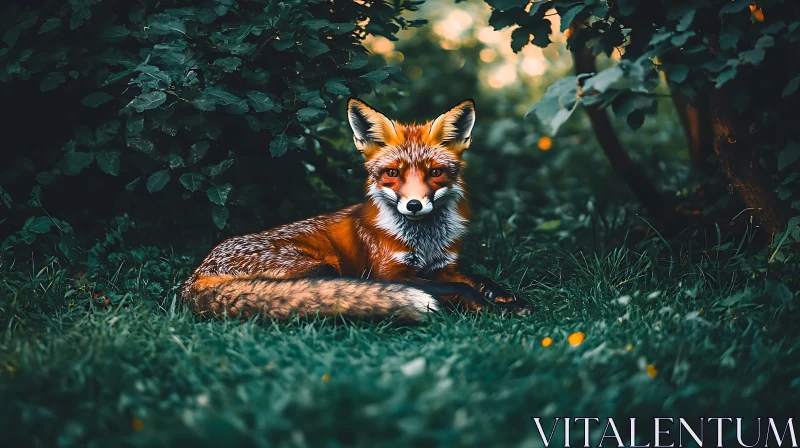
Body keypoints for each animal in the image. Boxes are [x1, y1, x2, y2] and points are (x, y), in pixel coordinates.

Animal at [184, 98, 528, 322]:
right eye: (392, 173)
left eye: (435, 173)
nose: (414, 205)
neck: (425, 242)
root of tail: (194, 277)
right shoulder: (388, 273)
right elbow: (459, 287)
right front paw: (492, 306)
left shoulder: (443, 266)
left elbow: (477, 277)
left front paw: (507, 296)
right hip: (321, 269)